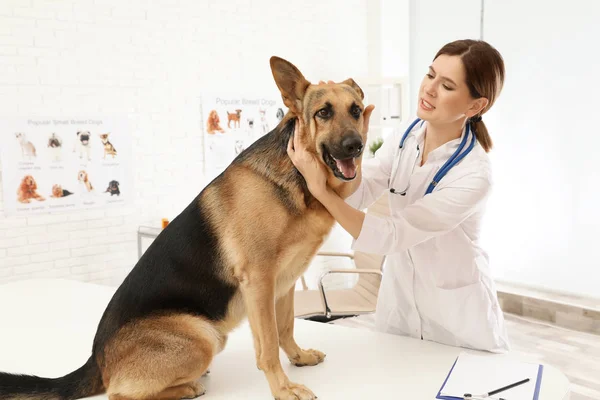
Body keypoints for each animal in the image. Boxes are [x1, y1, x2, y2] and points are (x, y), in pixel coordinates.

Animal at [0, 56, 372, 400]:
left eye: (355, 111)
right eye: (323, 113)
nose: (355, 146)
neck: (299, 179)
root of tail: (97, 358)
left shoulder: (285, 283)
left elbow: (286, 328)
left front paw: (299, 358)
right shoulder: (260, 282)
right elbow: (267, 346)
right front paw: (283, 388)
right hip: (203, 335)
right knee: (118, 392)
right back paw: (186, 387)